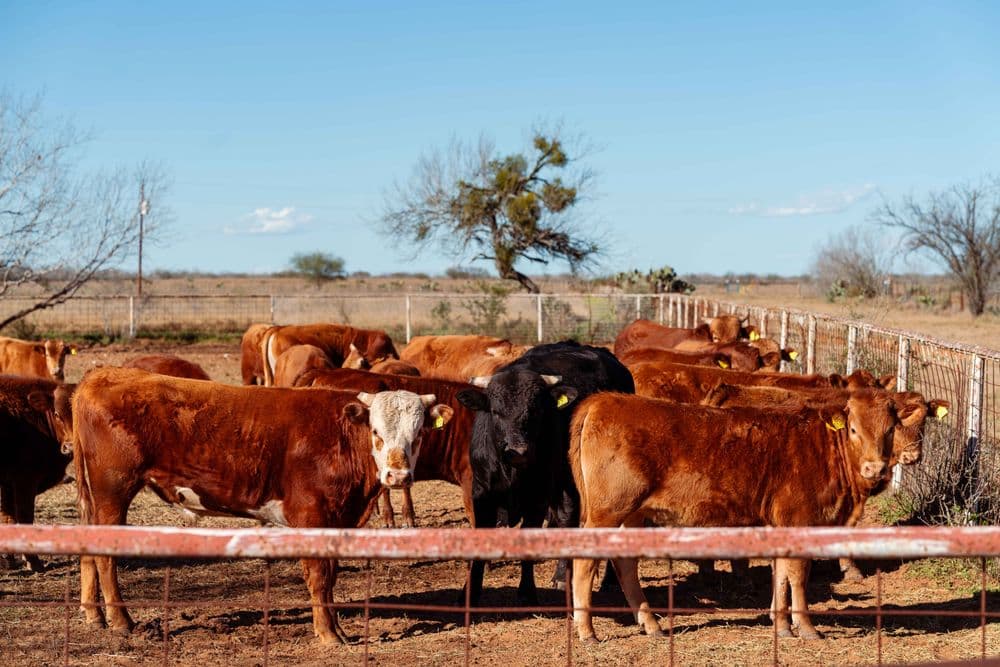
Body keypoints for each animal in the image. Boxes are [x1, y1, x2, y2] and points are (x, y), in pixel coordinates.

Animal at [0, 376, 75, 572]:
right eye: (57, 414)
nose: (70, 446)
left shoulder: (7, 485)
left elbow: (8, 517)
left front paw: (9, 559)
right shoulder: (25, 481)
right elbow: (25, 517)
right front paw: (33, 561)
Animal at [71, 366, 453, 644]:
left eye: (419, 433)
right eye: (376, 431)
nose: (397, 475)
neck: (340, 437)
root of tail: (101, 375)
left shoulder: (335, 519)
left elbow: (330, 575)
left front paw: (337, 628)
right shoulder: (312, 515)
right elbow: (319, 576)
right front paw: (328, 634)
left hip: (96, 498)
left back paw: (94, 615)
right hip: (113, 491)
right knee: (106, 556)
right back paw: (121, 619)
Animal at [454, 340, 635, 605]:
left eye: (536, 410)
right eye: (496, 412)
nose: (518, 451)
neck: (512, 472)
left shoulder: (537, 497)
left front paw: (527, 592)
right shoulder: (482, 492)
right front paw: (470, 593)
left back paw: (601, 580)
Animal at [568, 390, 924, 642]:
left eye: (890, 429)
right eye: (852, 429)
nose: (874, 468)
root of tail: (603, 400)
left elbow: (781, 574)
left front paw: (782, 625)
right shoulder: (799, 519)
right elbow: (798, 576)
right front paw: (806, 626)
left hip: (632, 514)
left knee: (626, 563)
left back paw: (651, 623)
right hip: (607, 511)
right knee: (585, 563)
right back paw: (587, 631)